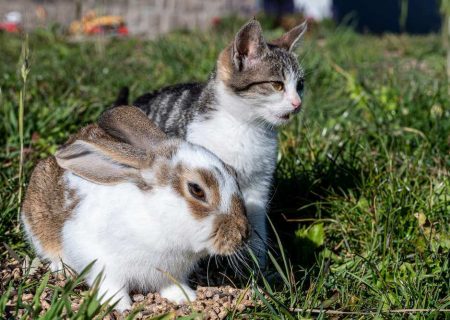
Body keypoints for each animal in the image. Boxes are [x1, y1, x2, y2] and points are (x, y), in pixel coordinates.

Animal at [22, 106, 250, 312]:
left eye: (233, 173)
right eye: (197, 190)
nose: (243, 234)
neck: (156, 216)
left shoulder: (168, 273)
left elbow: (170, 285)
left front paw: (185, 297)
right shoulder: (101, 261)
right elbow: (112, 286)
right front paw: (120, 306)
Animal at [114, 18, 308, 266]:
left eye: (300, 85)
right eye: (277, 85)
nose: (297, 103)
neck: (244, 127)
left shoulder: (259, 184)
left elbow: (256, 227)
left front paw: (259, 268)